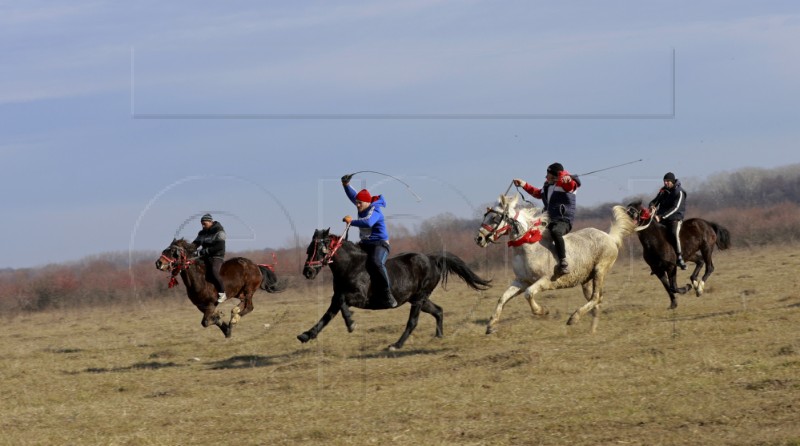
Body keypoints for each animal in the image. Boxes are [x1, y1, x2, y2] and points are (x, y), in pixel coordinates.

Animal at [155, 239, 286, 336]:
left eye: (173, 251)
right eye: (165, 249)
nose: (158, 263)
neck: (198, 279)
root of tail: (256, 266)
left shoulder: (211, 303)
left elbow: (205, 322)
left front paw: (221, 318)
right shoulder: (200, 306)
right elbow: (209, 320)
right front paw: (224, 325)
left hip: (249, 290)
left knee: (249, 307)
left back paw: (235, 317)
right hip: (239, 293)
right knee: (243, 303)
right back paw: (234, 312)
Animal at [298, 228, 490, 350]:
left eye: (320, 249)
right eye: (308, 249)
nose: (307, 272)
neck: (350, 265)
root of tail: (431, 258)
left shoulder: (359, 297)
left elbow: (342, 301)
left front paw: (351, 323)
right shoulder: (337, 297)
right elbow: (327, 316)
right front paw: (306, 335)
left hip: (419, 298)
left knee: (413, 322)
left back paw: (396, 345)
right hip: (419, 299)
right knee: (438, 310)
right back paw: (438, 336)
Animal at [476, 195, 636, 334]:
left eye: (495, 217)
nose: (479, 239)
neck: (528, 247)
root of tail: (609, 237)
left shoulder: (545, 281)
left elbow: (528, 294)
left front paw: (543, 311)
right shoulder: (521, 281)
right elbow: (502, 298)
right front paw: (490, 326)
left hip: (599, 271)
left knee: (596, 298)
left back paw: (573, 318)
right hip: (586, 280)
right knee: (596, 301)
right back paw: (592, 330)